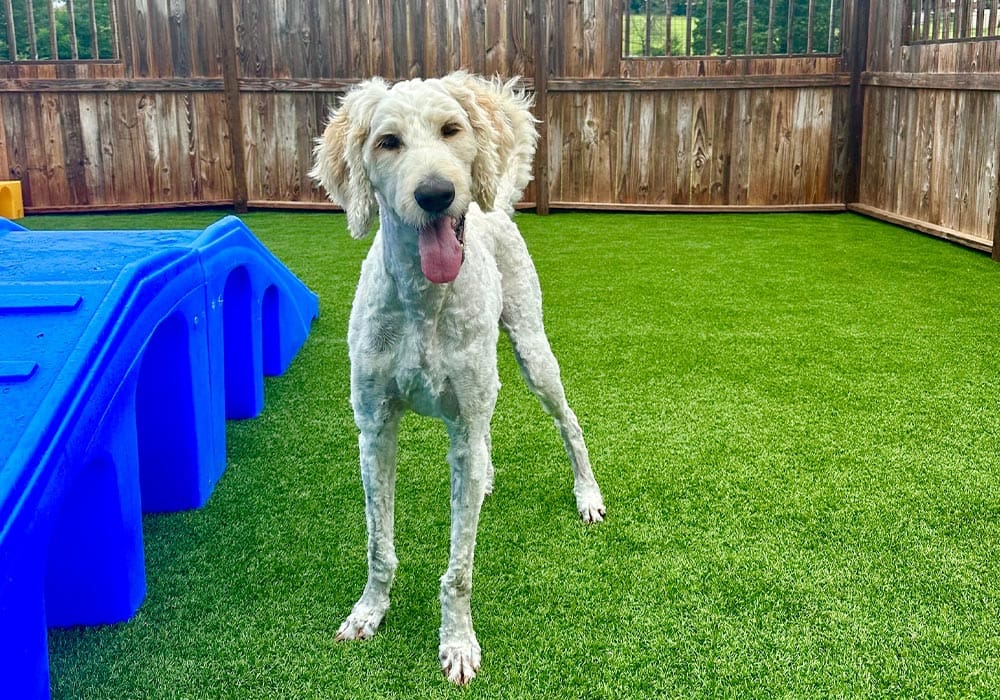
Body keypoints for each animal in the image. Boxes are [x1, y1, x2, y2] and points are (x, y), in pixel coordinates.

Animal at [308, 71, 604, 684]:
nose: (436, 194)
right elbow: (379, 545)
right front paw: (369, 612)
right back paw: (486, 478)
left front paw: (458, 642)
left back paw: (587, 493)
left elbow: (459, 568)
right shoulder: (375, 429)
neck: (424, 302)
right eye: (387, 142)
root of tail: (497, 209)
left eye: (451, 129)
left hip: (533, 352)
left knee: (569, 424)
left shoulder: (462, 421)